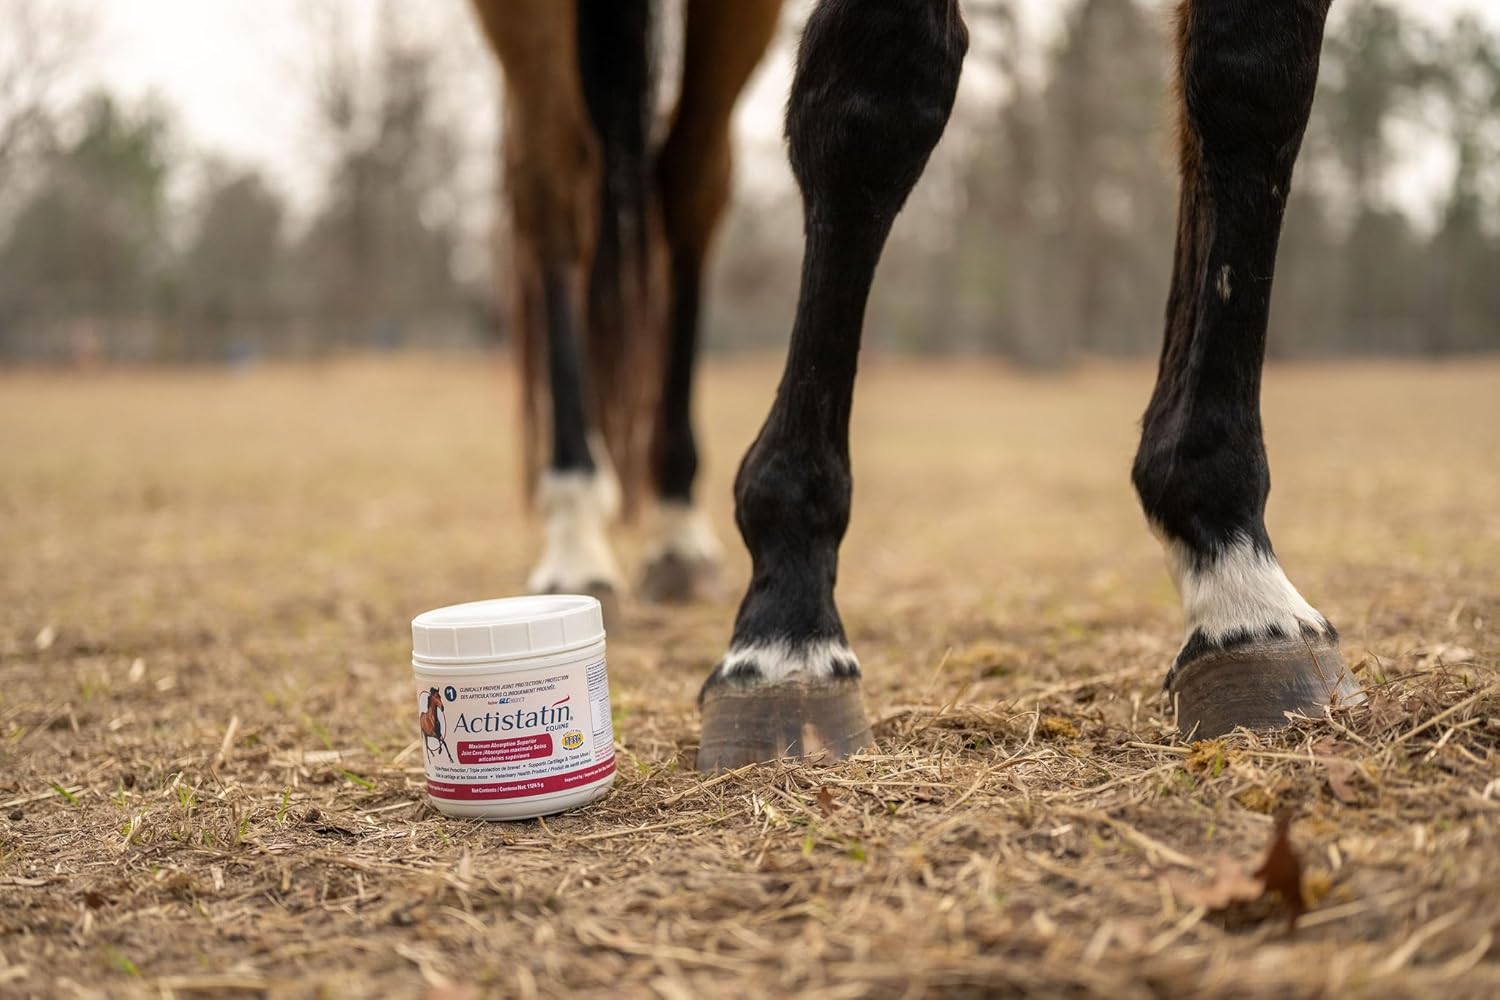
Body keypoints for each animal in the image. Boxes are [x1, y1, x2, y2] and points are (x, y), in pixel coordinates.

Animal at [474, 0, 1366, 773]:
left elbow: (1251, 71)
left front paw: (1237, 576)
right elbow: (878, 91)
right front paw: (789, 622)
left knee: (687, 188)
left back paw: (673, 528)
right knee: (556, 187)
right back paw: (576, 533)